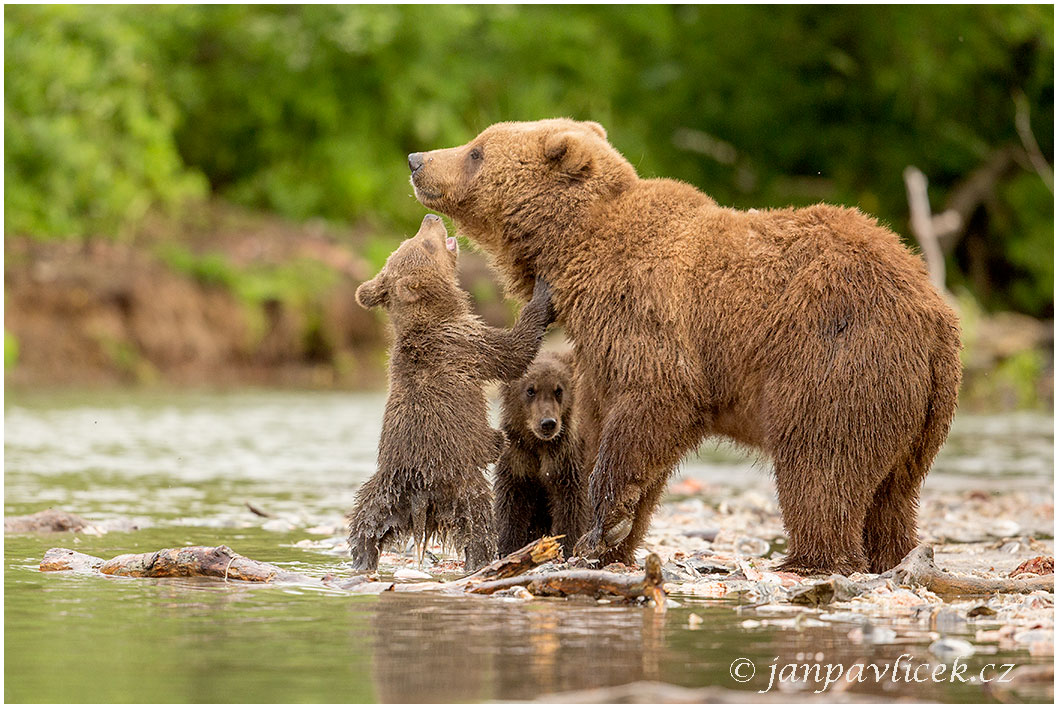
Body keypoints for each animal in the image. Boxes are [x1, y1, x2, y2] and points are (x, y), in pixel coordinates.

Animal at [344, 214, 554, 571]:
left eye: (409, 239)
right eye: (425, 244)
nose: (431, 218)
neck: (434, 316)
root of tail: (420, 498)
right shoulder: (465, 343)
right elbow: (512, 352)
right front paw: (542, 292)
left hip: (383, 493)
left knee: (363, 523)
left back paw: (362, 559)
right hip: (462, 484)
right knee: (480, 526)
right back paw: (482, 559)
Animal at [493, 349, 588, 562]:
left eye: (558, 390)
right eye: (530, 389)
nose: (548, 423)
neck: (538, 444)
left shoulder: (564, 457)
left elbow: (569, 503)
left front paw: (565, 546)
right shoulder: (517, 456)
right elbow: (512, 502)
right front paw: (508, 547)